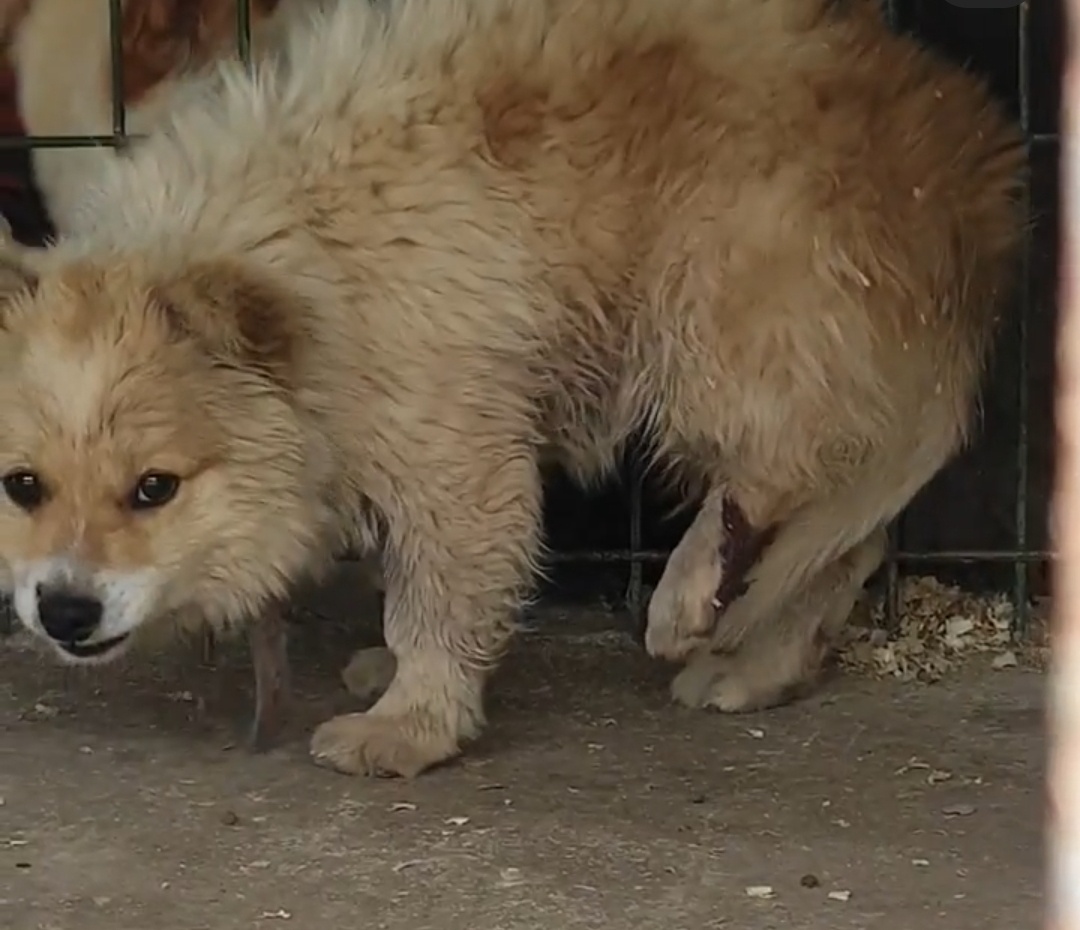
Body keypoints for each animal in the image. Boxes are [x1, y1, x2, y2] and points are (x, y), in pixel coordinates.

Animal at [0, 0, 1023, 777]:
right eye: (23, 487)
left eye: (154, 489)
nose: (63, 611)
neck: (302, 265)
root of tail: (971, 163)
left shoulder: (458, 450)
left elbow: (439, 594)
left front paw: (412, 721)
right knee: (844, 536)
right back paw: (761, 661)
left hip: (716, 316)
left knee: (785, 469)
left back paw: (691, 589)